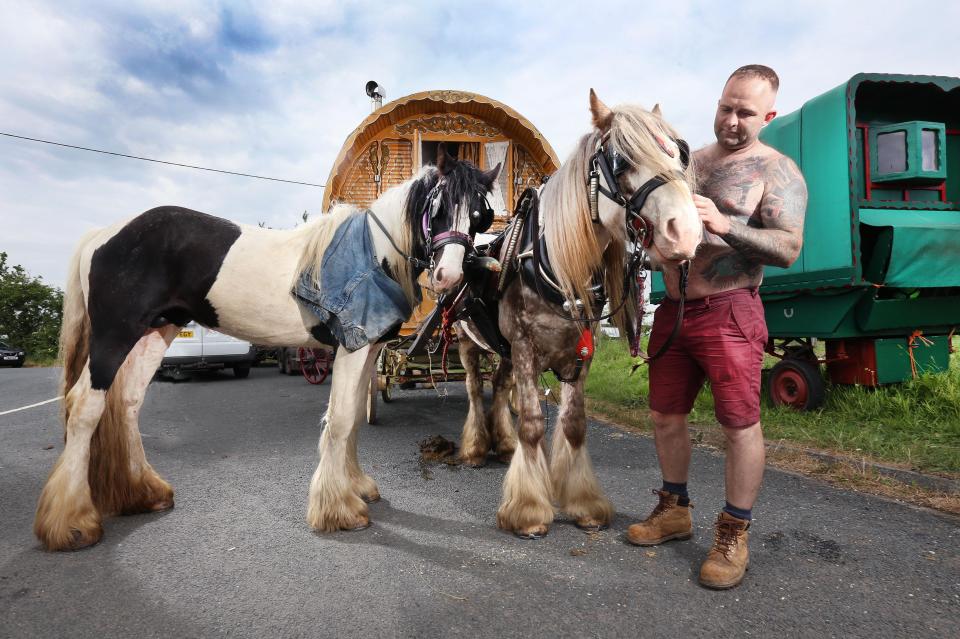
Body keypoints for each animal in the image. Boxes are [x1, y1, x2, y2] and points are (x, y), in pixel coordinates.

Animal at [35, 145, 502, 552]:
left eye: (480, 216)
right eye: (438, 206)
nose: (447, 277)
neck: (374, 251)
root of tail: (105, 234)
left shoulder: (367, 350)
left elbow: (350, 419)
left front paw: (356, 488)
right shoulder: (351, 350)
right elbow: (342, 419)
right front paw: (338, 510)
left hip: (153, 335)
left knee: (127, 405)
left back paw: (141, 493)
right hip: (114, 337)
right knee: (85, 409)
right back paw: (71, 523)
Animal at [454, 92, 700, 536]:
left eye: (680, 153)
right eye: (621, 161)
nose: (686, 231)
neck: (553, 264)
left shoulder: (581, 352)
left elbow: (573, 423)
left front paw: (584, 502)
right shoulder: (526, 347)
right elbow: (533, 422)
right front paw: (529, 508)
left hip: (504, 350)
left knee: (498, 385)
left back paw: (503, 443)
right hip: (468, 341)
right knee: (472, 388)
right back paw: (476, 447)